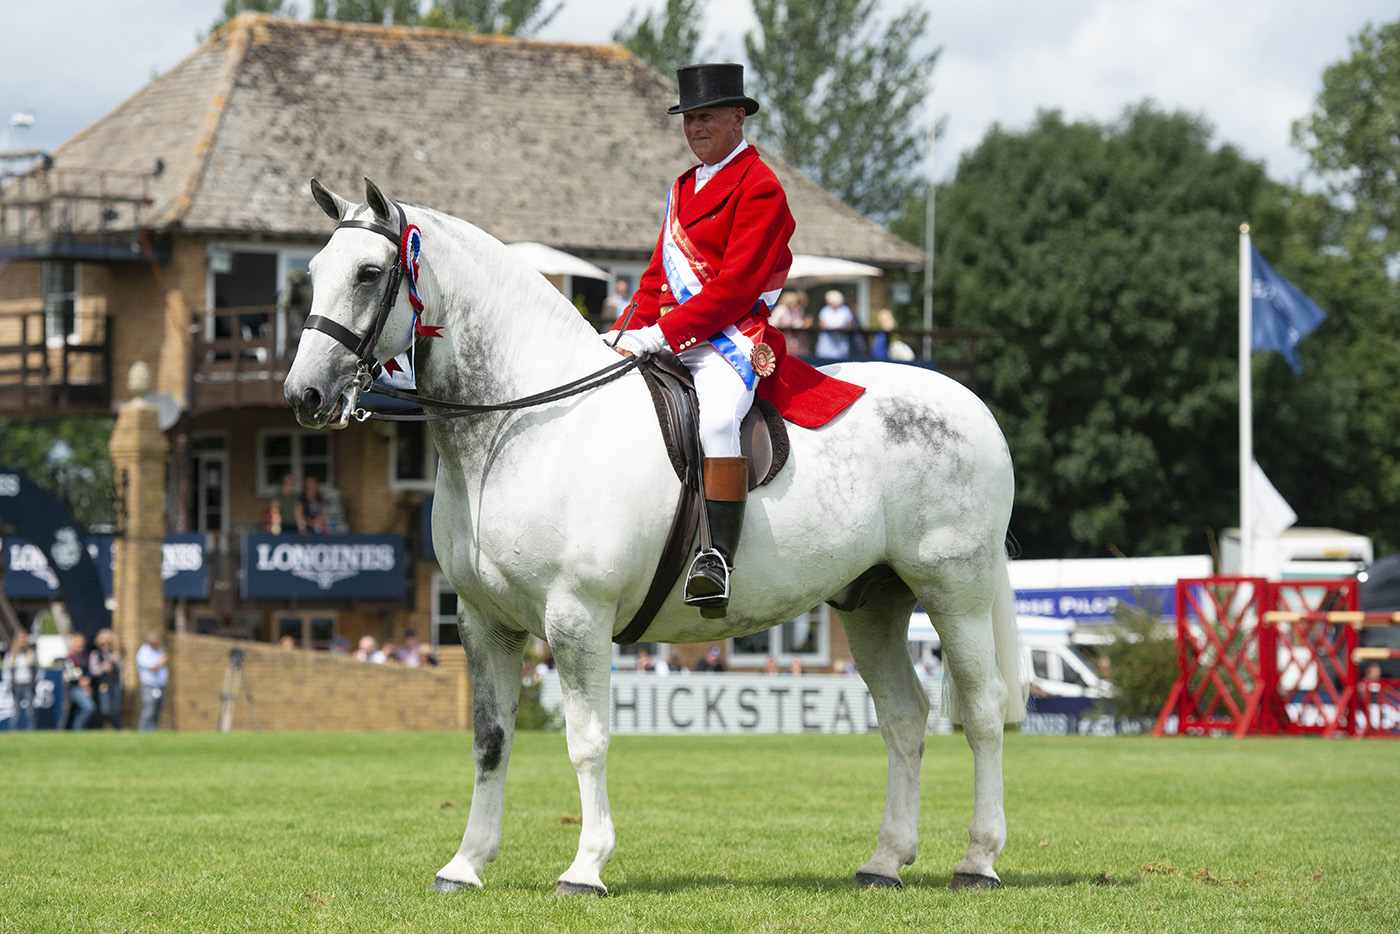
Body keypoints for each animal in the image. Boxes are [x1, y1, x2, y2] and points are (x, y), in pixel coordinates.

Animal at [284, 177, 1026, 896]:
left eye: (368, 273)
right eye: (312, 272)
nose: (303, 395)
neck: (523, 426)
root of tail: (970, 404)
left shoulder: (577, 617)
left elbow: (586, 740)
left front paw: (585, 867)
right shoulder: (483, 621)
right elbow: (490, 741)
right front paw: (465, 865)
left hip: (952, 591)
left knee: (983, 711)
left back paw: (978, 859)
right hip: (873, 602)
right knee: (904, 716)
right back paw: (885, 861)